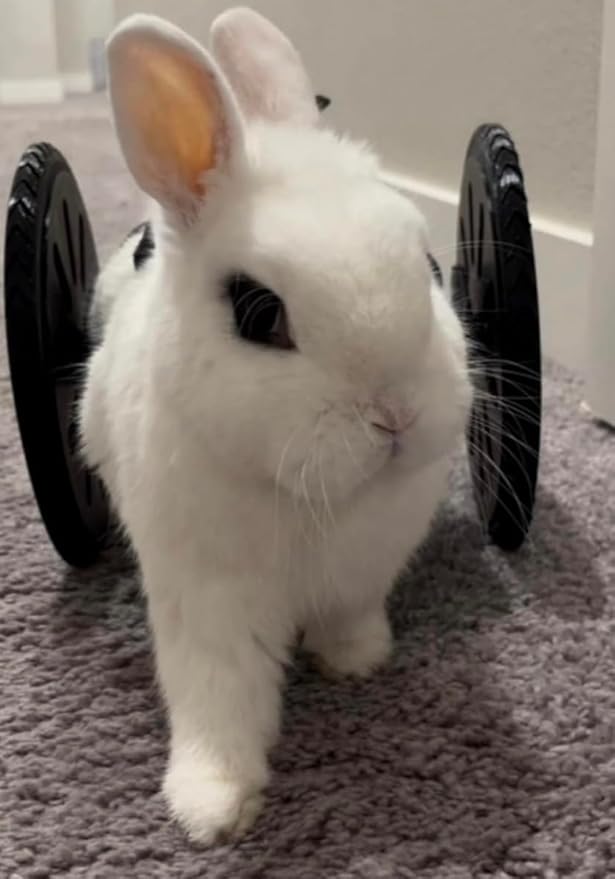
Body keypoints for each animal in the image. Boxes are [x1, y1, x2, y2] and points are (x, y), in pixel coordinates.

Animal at [79, 6, 473, 845]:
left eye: (428, 265)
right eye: (259, 313)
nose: (394, 414)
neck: (307, 495)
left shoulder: (362, 572)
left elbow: (349, 619)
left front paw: (356, 660)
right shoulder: (209, 605)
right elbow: (218, 698)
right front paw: (212, 807)